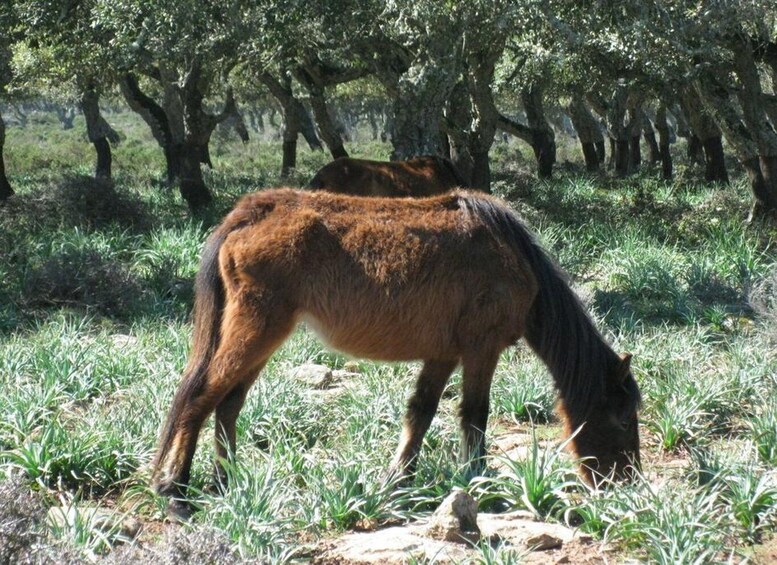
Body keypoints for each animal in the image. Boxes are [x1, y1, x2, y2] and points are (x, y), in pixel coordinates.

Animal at [150, 187, 636, 512]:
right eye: (624, 417)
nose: (625, 483)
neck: (514, 257)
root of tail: (253, 211)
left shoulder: (444, 354)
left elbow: (420, 412)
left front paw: (399, 479)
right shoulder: (482, 349)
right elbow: (475, 415)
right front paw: (477, 480)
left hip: (261, 336)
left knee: (227, 404)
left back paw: (227, 482)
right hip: (256, 330)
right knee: (200, 399)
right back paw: (175, 492)